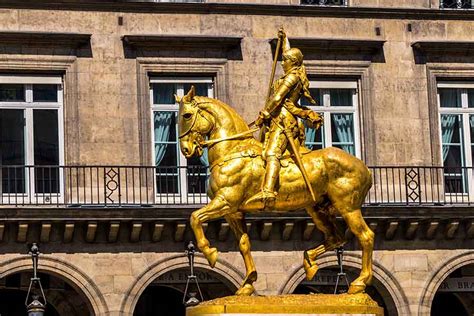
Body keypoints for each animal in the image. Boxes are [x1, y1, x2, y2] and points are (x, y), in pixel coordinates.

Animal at [178, 86, 374, 296]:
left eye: (187, 115)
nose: (186, 150)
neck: (233, 150)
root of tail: (365, 168)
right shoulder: (233, 213)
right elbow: (244, 244)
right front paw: (248, 283)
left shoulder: (225, 202)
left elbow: (195, 217)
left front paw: (210, 253)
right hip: (317, 209)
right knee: (336, 238)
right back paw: (309, 262)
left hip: (348, 208)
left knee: (366, 237)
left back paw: (359, 282)